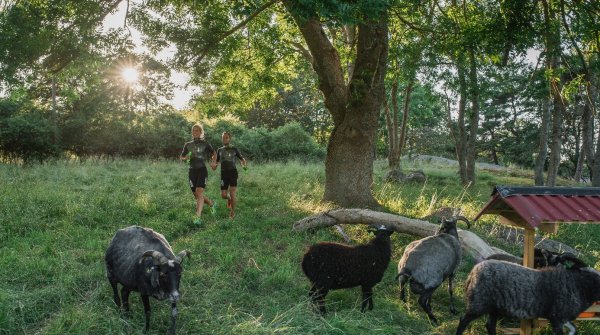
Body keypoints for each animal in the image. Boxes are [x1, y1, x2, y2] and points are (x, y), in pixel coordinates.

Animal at [454, 260, 600, 335]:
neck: (579, 286)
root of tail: (473, 272)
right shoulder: (556, 317)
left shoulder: (563, 318)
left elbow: (573, 329)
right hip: (478, 303)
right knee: (463, 320)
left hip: (495, 307)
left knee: (490, 325)